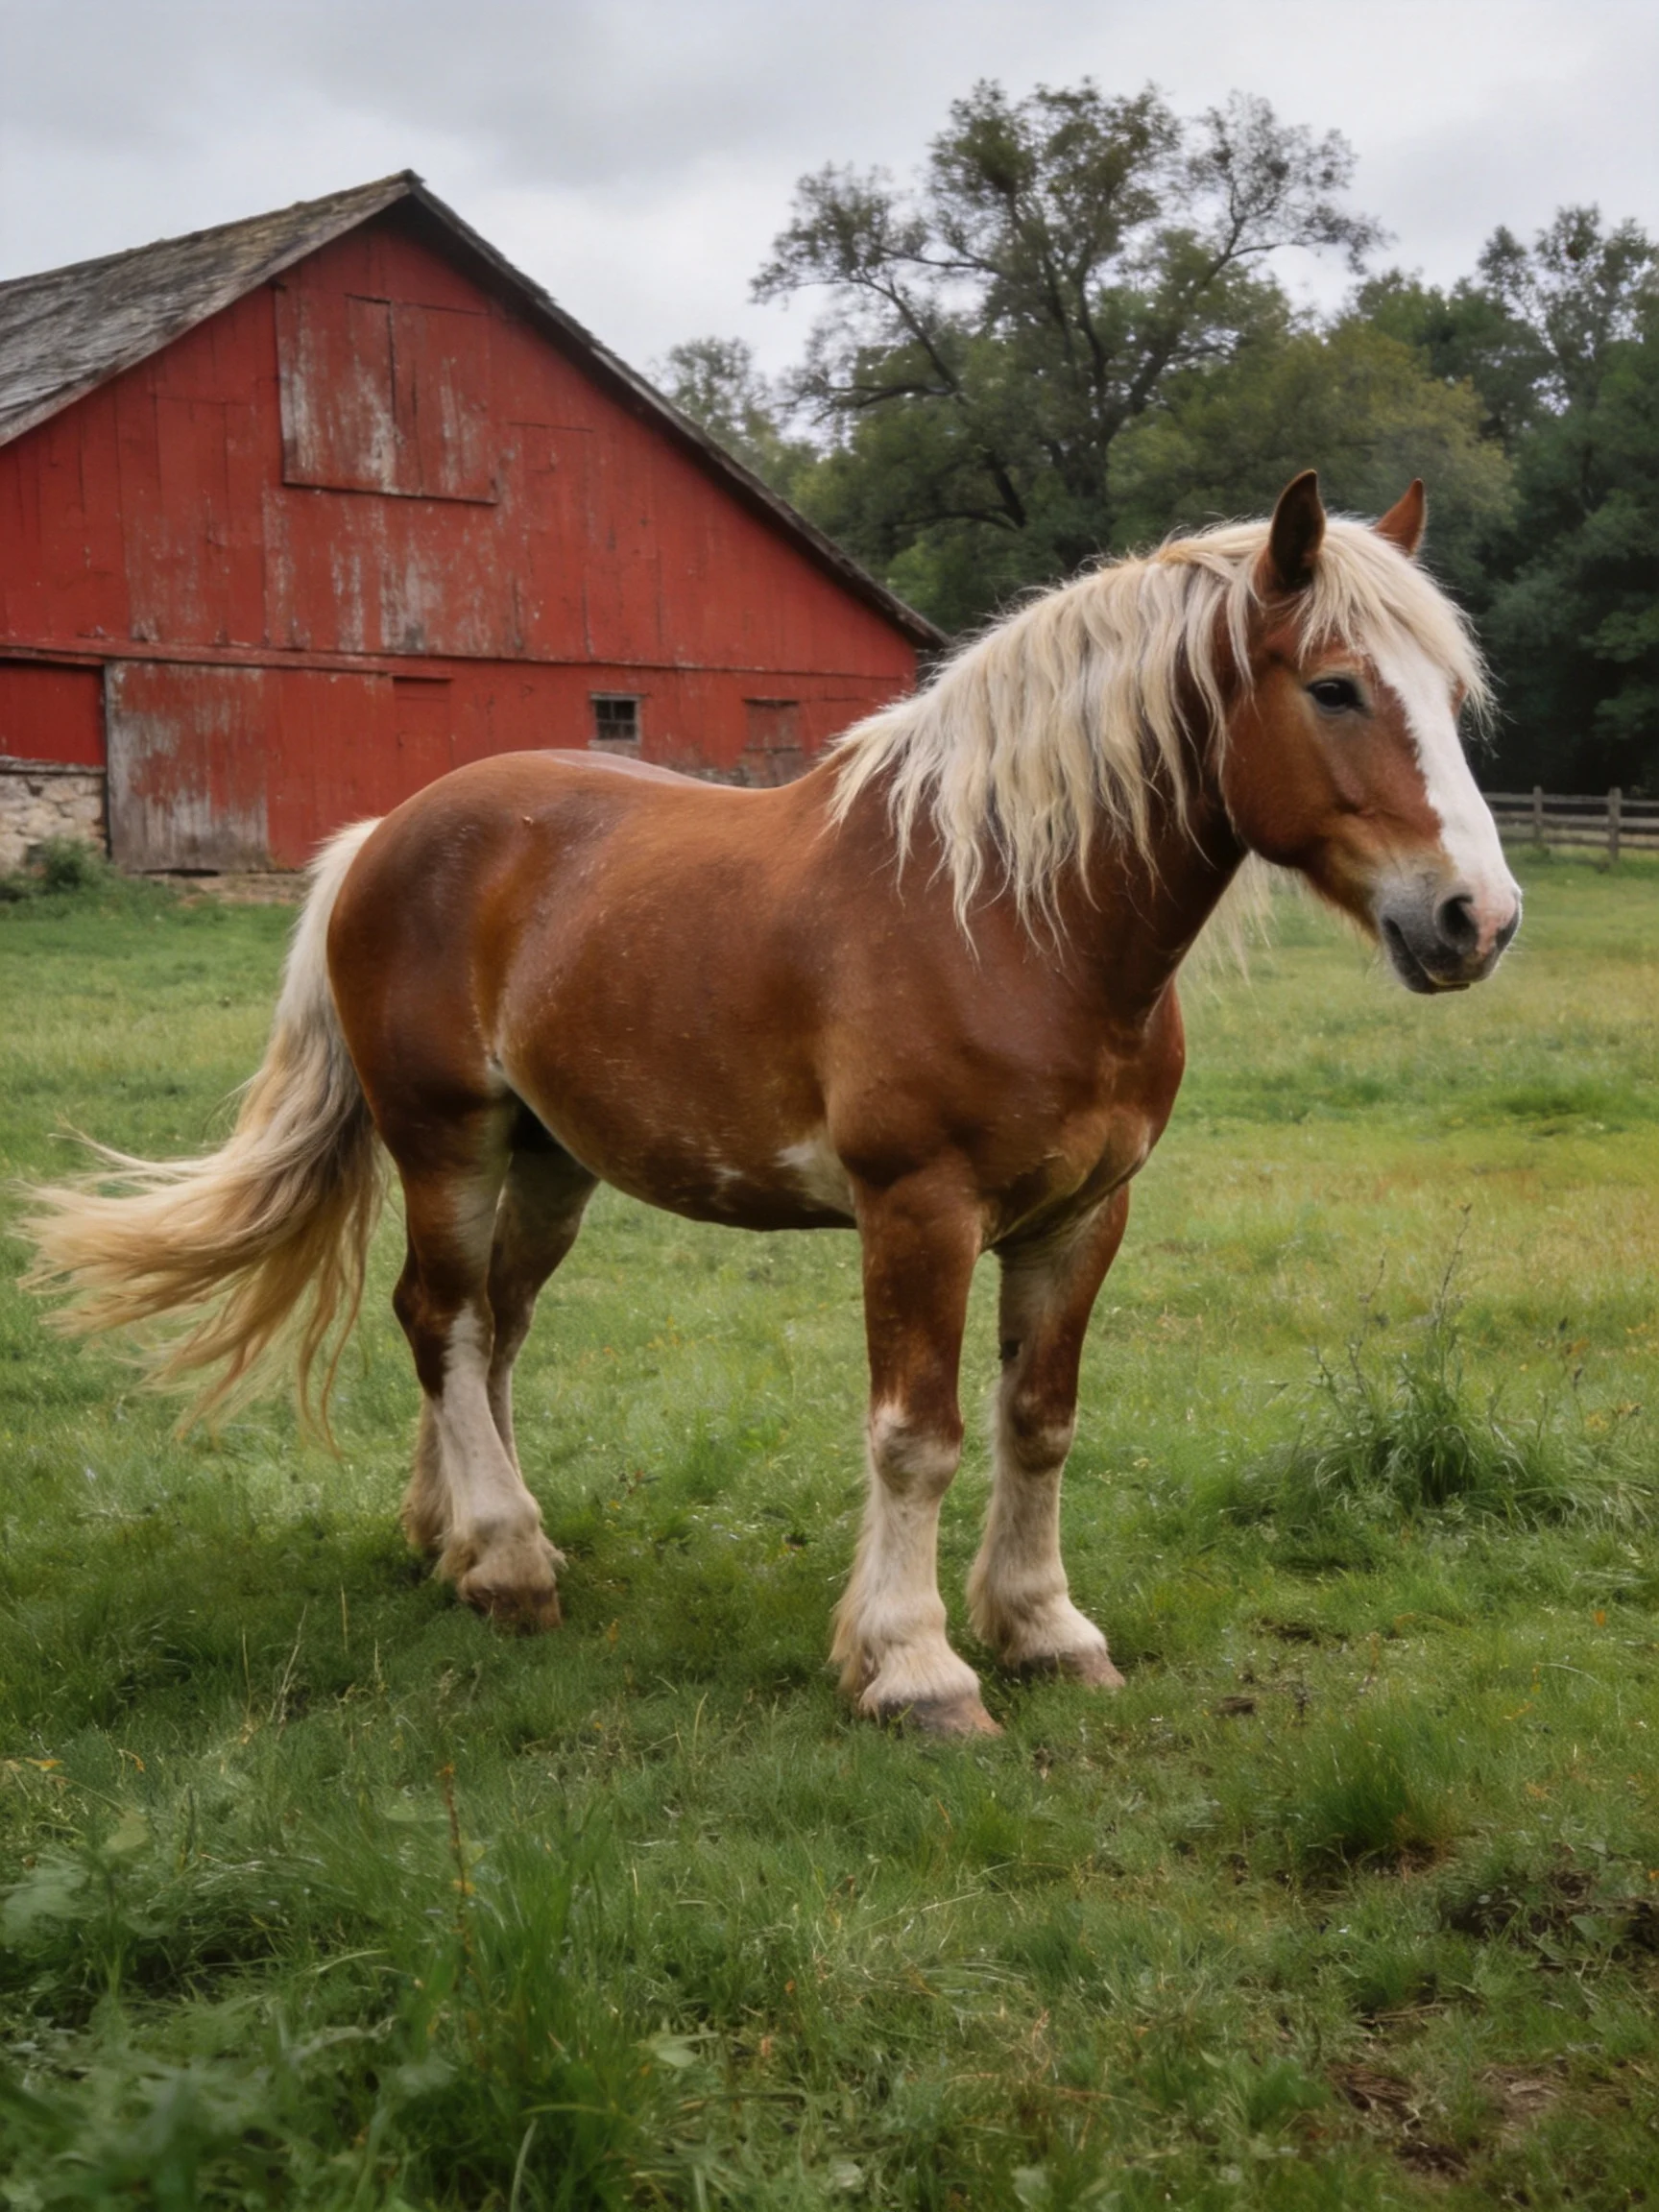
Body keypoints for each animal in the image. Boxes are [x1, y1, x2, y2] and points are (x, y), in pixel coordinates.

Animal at [23, 472, 1521, 1737]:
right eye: (1335, 687)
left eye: (1452, 694)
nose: (1478, 919)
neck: (1010, 917)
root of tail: (382, 836)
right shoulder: (919, 1209)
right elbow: (918, 1437)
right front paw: (917, 1670)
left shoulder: (1083, 1217)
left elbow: (1039, 1420)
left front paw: (1044, 1631)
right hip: (445, 1142)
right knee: (438, 1321)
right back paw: (507, 1565)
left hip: (550, 1163)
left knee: (493, 1331)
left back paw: (458, 1538)